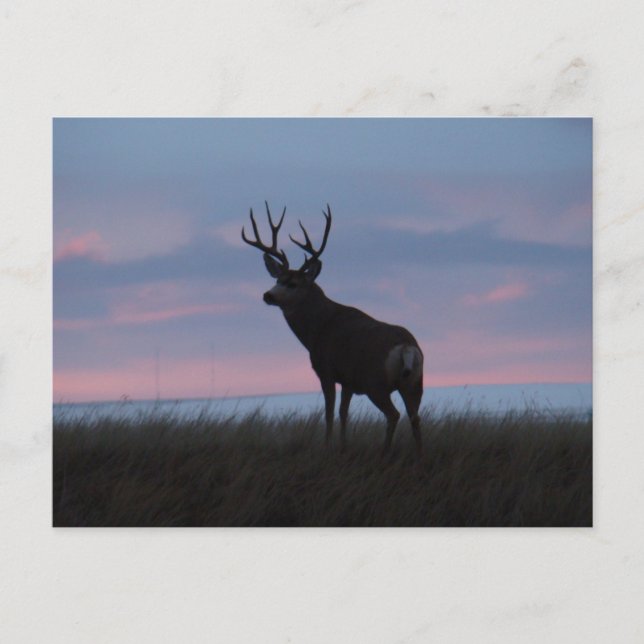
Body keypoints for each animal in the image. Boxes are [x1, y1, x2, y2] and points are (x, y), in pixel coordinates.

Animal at [241, 202, 424, 456]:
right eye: (277, 279)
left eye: (293, 283)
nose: (268, 295)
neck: (318, 329)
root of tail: (407, 347)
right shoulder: (348, 379)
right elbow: (343, 413)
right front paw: (343, 446)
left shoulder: (326, 370)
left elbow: (328, 413)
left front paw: (327, 446)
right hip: (415, 383)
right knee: (415, 417)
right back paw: (420, 454)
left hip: (376, 382)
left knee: (394, 414)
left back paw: (385, 452)